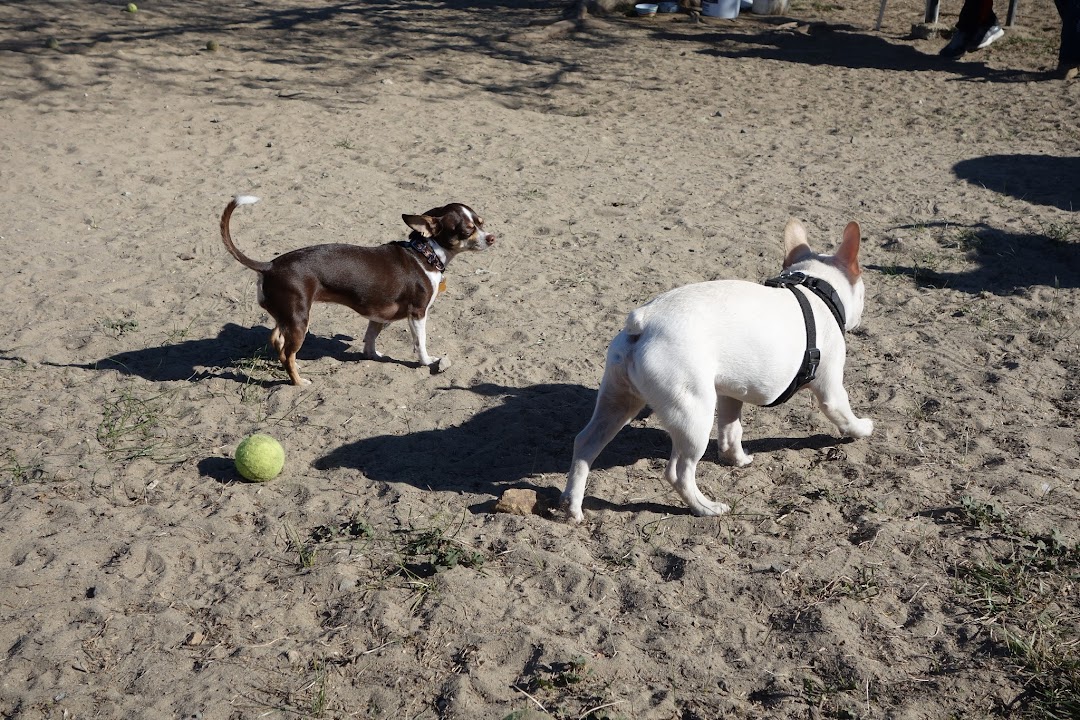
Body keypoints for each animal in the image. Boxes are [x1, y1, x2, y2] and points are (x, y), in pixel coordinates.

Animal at [220, 194, 496, 386]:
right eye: (468, 230)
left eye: (482, 223)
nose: (492, 238)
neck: (426, 253)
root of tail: (269, 265)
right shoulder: (418, 314)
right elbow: (421, 342)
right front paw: (427, 362)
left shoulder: (378, 314)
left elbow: (371, 336)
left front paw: (373, 355)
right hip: (299, 321)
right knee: (288, 353)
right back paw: (299, 382)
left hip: (287, 316)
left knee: (277, 340)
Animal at [561, 220, 872, 524]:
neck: (814, 287)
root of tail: (643, 322)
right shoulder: (830, 388)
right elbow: (844, 416)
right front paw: (863, 428)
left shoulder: (730, 394)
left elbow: (731, 429)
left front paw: (736, 459)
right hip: (693, 416)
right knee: (678, 473)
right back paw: (705, 508)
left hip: (618, 401)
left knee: (585, 444)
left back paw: (572, 506)